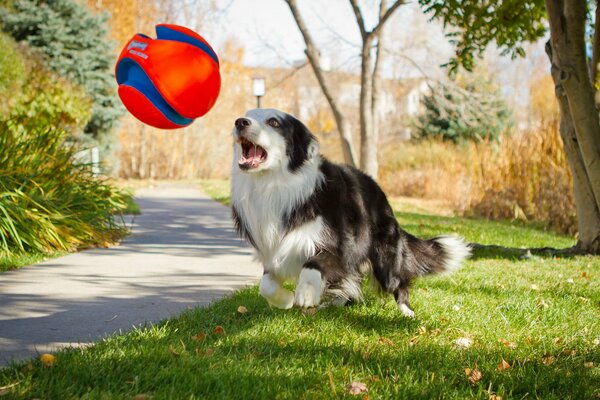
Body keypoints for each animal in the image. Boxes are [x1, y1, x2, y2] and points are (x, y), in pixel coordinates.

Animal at [230, 108, 468, 318]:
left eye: (274, 122)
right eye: (249, 114)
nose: (240, 122)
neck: (274, 184)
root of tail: (379, 191)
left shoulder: (340, 246)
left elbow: (314, 263)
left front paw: (306, 293)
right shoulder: (273, 251)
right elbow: (266, 285)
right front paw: (285, 300)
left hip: (385, 258)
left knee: (397, 282)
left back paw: (407, 312)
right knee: (350, 283)